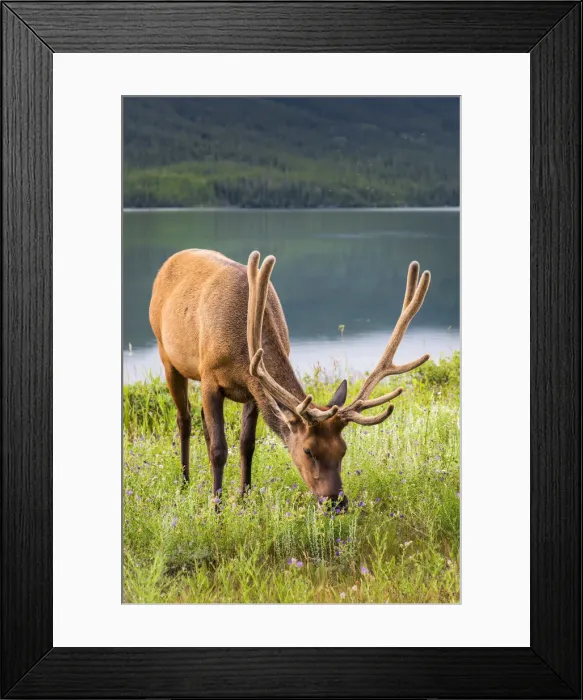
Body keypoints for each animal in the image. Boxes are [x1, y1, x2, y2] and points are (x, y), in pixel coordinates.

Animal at [149, 249, 430, 510]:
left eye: (343, 449)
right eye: (308, 450)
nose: (336, 502)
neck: (241, 347)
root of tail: (170, 260)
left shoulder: (254, 387)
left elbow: (246, 444)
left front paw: (244, 499)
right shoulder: (209, 378)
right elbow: (219, 450)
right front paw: (216, 509)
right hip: (167, 355)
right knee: (184, 417)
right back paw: (184, 483)